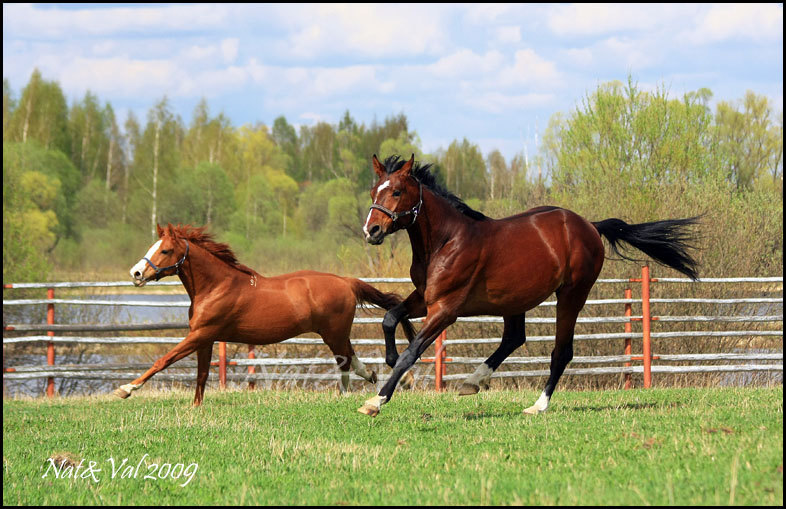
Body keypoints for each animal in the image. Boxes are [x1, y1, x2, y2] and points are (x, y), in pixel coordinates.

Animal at [115, 222, 416, 404]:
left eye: (165, 250)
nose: (136, 273)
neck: (217, 286)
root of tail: (346, 281)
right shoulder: (205, 338)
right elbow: (201, 375)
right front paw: (195, 409)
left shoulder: (201, 334)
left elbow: (163, 360)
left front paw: (126, 389)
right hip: (336, 332)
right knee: (351, 359)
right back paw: (384, 380)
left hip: (334, 333)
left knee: (344, 361)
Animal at [358, 155, 696, 416]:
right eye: (374, 191)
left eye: (397, 192)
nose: (371, 230)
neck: (445, 241)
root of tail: (589, 225)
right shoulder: (425, 298)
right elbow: (390, 318)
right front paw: (394, 369)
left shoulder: (446, 309)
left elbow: (412, 351)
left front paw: (377, 400)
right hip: (514, 300)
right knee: (514, 338)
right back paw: (474, 381)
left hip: (571, 295)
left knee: (561, 351)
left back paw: (537, 405)